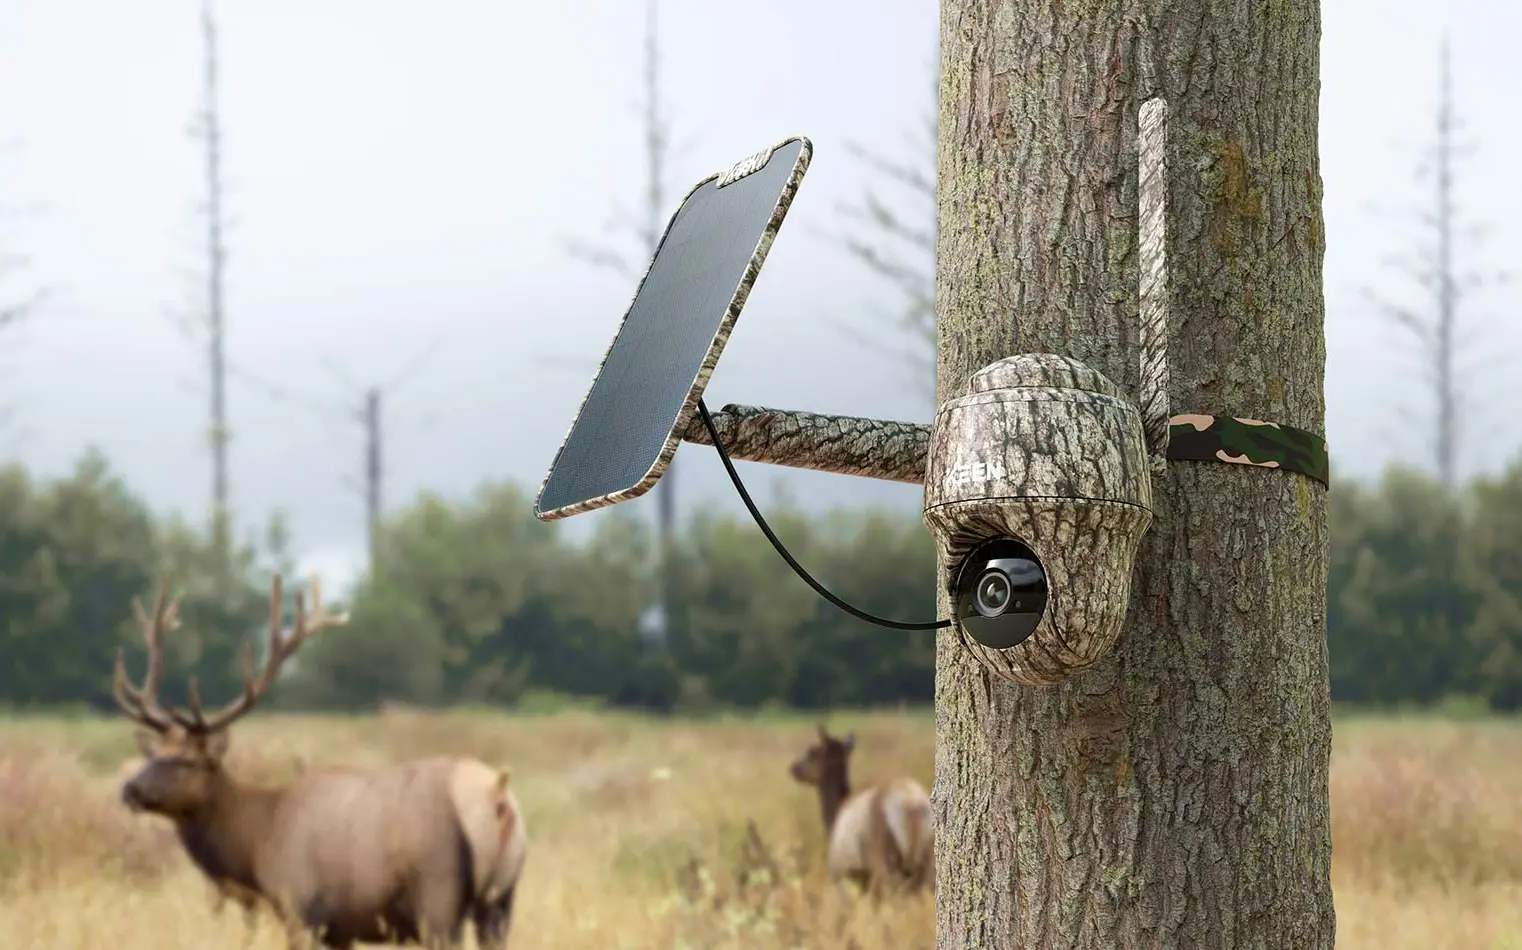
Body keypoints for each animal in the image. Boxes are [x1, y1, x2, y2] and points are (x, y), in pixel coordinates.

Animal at [112, 572, 529, 950]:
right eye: (152, 754)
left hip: (438, 897)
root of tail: (496, 794)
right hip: (501, 902)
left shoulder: (301, 910)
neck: (257, 844)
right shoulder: (341, 930)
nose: (129, 790)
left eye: (187, 761)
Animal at [791, 727, 931, 895]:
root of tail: (910, 804)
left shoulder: (840, 874)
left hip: (884, 864)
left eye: (812, 752)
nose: (794, 768)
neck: (832, 819)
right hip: (925, 864)